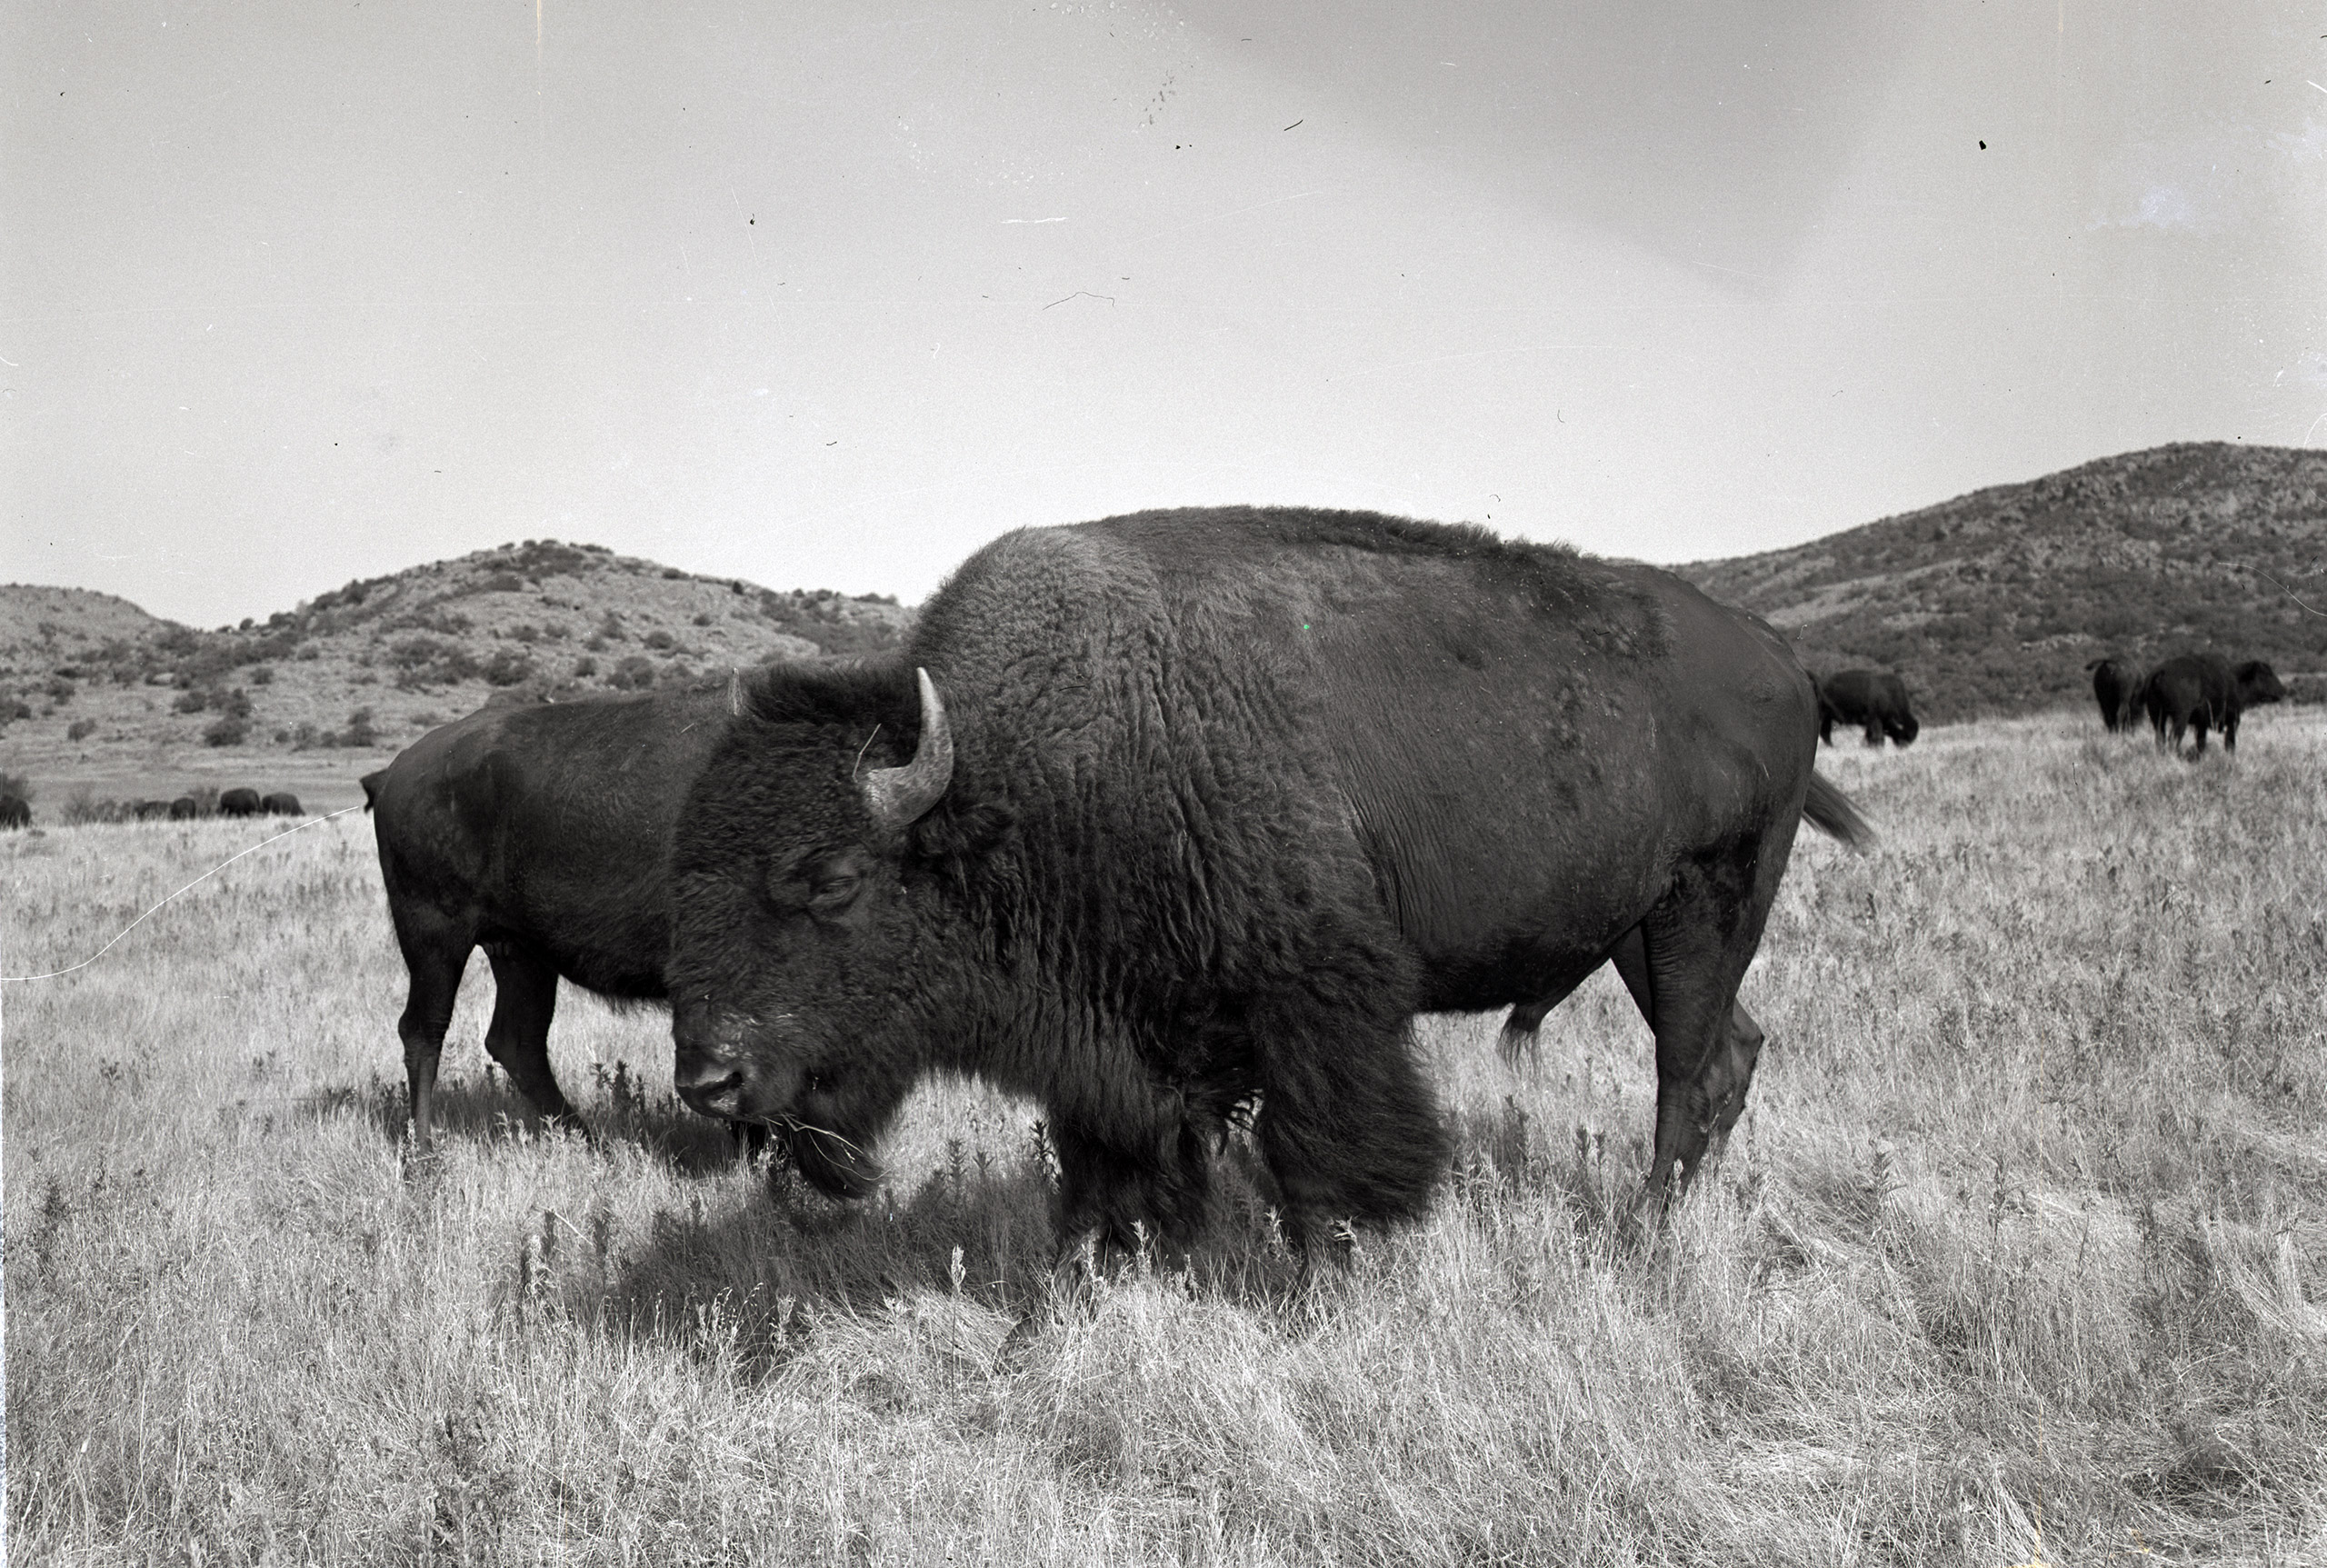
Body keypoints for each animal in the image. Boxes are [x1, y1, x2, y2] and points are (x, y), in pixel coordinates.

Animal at [365, 686, 741, 1148]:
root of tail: (399, 768)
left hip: (518, 952)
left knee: (516, 1041)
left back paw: (591, 1143)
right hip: (435, 938)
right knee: (424, 1030)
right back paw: (424, 1153)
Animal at [666, 508, 1870, 1266]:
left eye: (829, 879)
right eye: (688, 870)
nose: (708, 1077)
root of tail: (1782, 658)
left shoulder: (1320, 1006)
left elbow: (1325, 1162)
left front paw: (1328, 1278)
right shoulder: (1112, 1049)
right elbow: (1107, 1174)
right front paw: (1099, 1276)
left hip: (1704, 908)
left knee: (1685, 1070)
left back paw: (1644, 1232)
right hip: (1640, 934)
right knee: (1729, 1051)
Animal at [2142, 654, 2284, 757]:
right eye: (2266, 674)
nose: (2282, 690)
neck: (2237, 678)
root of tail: (2161, 671)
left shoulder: (2202, 725)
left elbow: (2201, 743)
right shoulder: (2233, 720)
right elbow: (2230, 743)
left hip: (2158, 717)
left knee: (2160, 738)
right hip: (2180, 717)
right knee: (2174, 738)